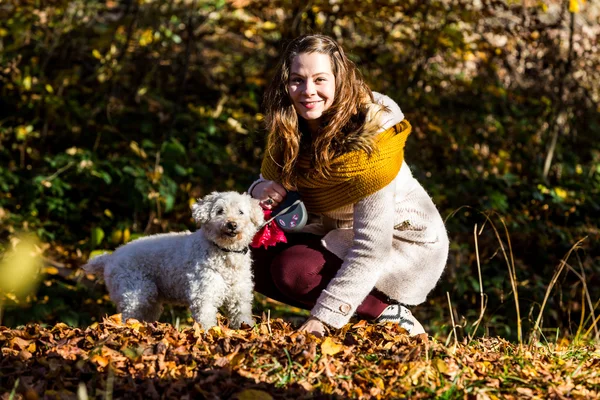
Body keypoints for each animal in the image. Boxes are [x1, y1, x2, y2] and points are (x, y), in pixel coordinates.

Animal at [82, 192, 264, 330]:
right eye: (220, 211)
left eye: (241, 212)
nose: (232, 224)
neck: (224, 252)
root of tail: (110, 258)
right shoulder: (203, 294)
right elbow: (206, 319)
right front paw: (209, 335)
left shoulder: (240, 295)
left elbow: (242, 316)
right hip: (135, 292)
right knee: (126, 315)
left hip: (151, 299)